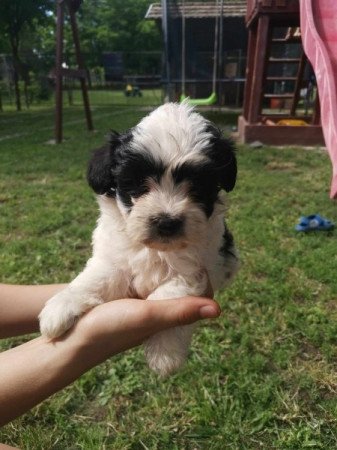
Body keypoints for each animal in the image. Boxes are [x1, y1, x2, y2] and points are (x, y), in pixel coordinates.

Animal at [38, 103, 239, 376]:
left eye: (197, 186)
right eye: (138, 184)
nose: (167, 221)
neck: (156, 249)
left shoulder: (199, 266)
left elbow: (167, 296)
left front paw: (164, 352)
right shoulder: (113, 257)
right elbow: (95, 278)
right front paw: (61, 306)